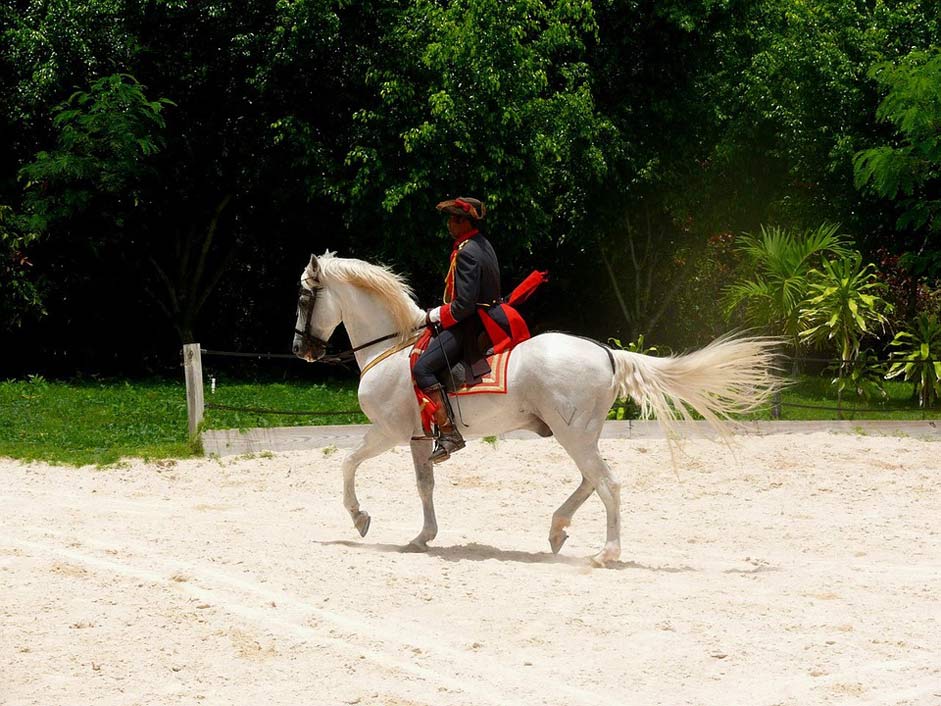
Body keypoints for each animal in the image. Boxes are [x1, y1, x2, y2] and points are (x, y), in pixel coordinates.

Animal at [294, 250, 780, 564]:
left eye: (302, 299)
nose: (301, 350)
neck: (392, 347)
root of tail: (606, 352)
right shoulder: (417, 437)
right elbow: (424, 486)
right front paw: (422, 537)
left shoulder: (388, 432)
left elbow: (347, 463)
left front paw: (359, 517)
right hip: (579, 434)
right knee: (590, 481)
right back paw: (557, 528)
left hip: (572, 434)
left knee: (608, 483)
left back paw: (606, 553)